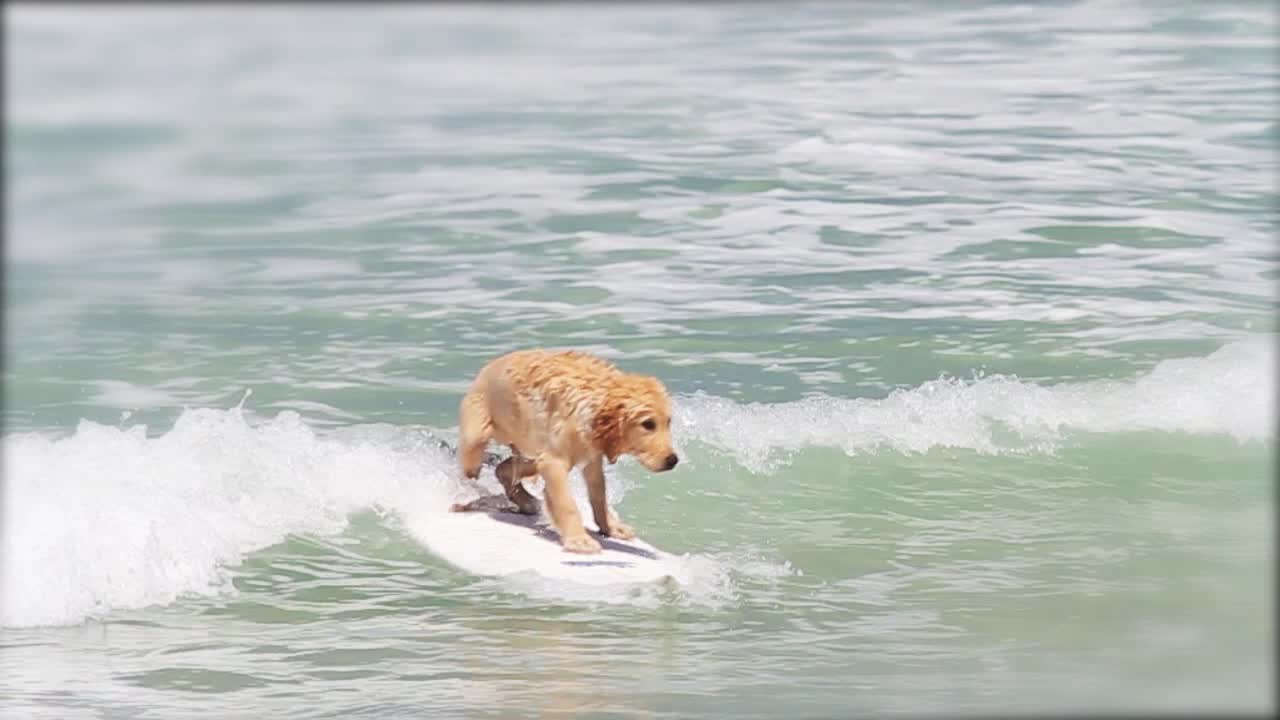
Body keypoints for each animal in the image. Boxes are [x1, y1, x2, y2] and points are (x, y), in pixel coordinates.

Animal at [458, 351, 686, 550]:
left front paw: (611, 527)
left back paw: (526, 500)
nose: (673, 460)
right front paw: (579, 540)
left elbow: (599, 496)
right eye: (648, 424)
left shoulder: (591, 457)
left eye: (668, 422)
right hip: (478, 433)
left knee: (504, 469)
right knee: (473, 464)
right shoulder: (554, 461)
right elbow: (566, 503)